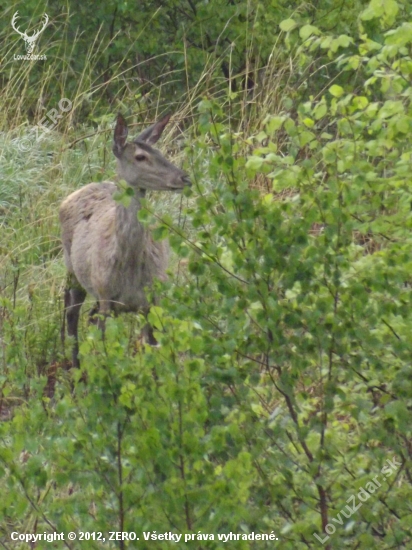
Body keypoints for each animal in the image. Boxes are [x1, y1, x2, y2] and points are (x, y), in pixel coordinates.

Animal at [59, 114, 192, 368]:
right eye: (140, 156)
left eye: (159, 151)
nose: (185, 177)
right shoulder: (104, 294)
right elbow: (104, 351)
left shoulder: (152, 301)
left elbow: (153, 349)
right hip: (72, 267)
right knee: (71, 312)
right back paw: (74, 367)